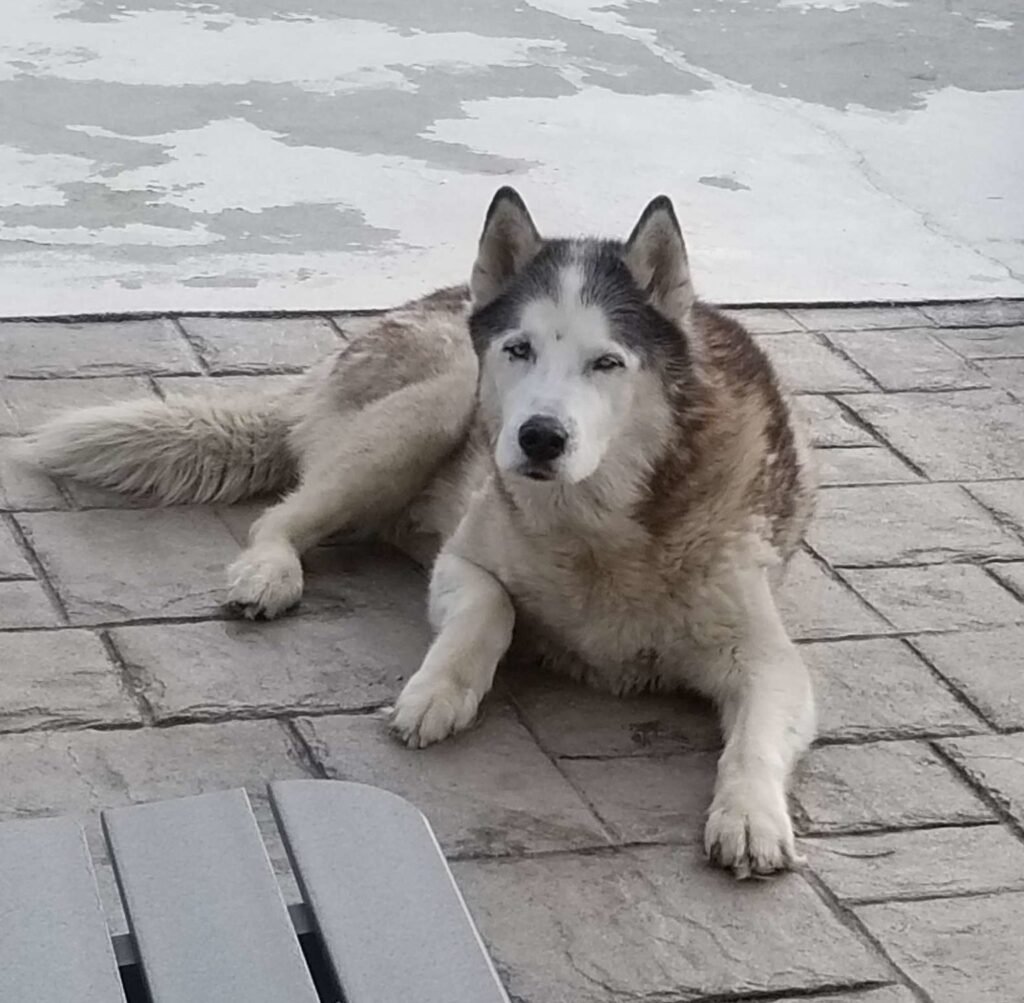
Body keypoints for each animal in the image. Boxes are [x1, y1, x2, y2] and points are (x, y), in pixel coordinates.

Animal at [22, 188, 815, 876]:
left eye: (607, 362)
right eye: (520, 349)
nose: (539, 437)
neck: (598, 530)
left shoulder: (770, 660)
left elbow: (754, 736)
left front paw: (750, 814)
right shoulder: (462, 559)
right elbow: (491, 609)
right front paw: (439, 693)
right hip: (430, 409)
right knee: (279, 515)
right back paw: (269, 571)